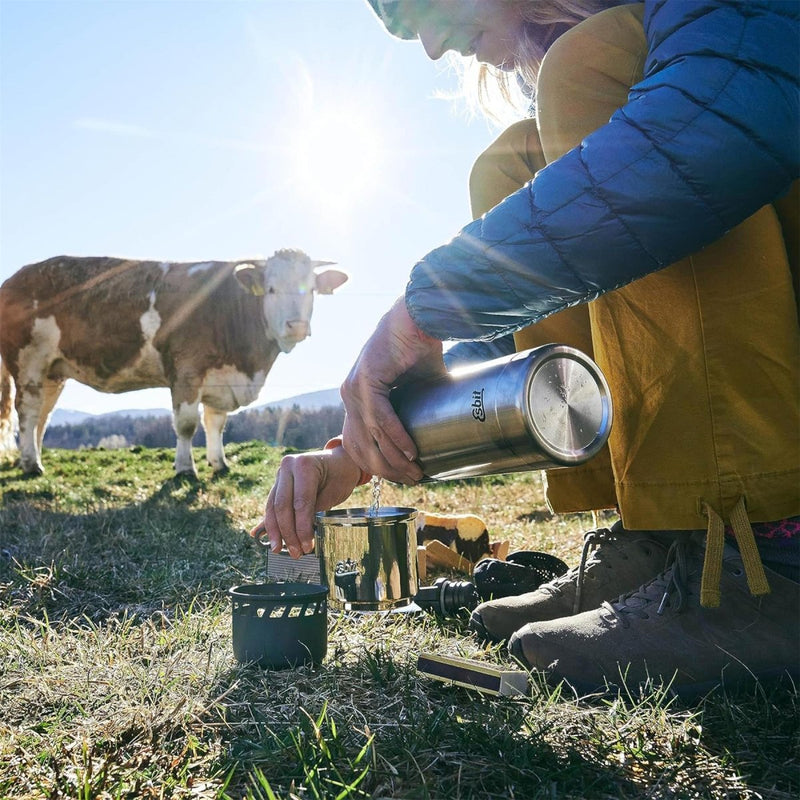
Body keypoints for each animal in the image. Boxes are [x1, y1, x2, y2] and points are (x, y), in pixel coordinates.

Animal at [0, 250, 350, 476]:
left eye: (312, 290)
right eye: (271, 289)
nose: (296, 325)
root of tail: (15, 277)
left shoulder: (221, 379)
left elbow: (215, 423)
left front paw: (219, 464)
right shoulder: (187, 370)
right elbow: (186, 424)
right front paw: (185, 469)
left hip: (54, 370)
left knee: (42, 416)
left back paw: (31, 458)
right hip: (29, 361)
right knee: (28, 412)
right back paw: (31, 464)